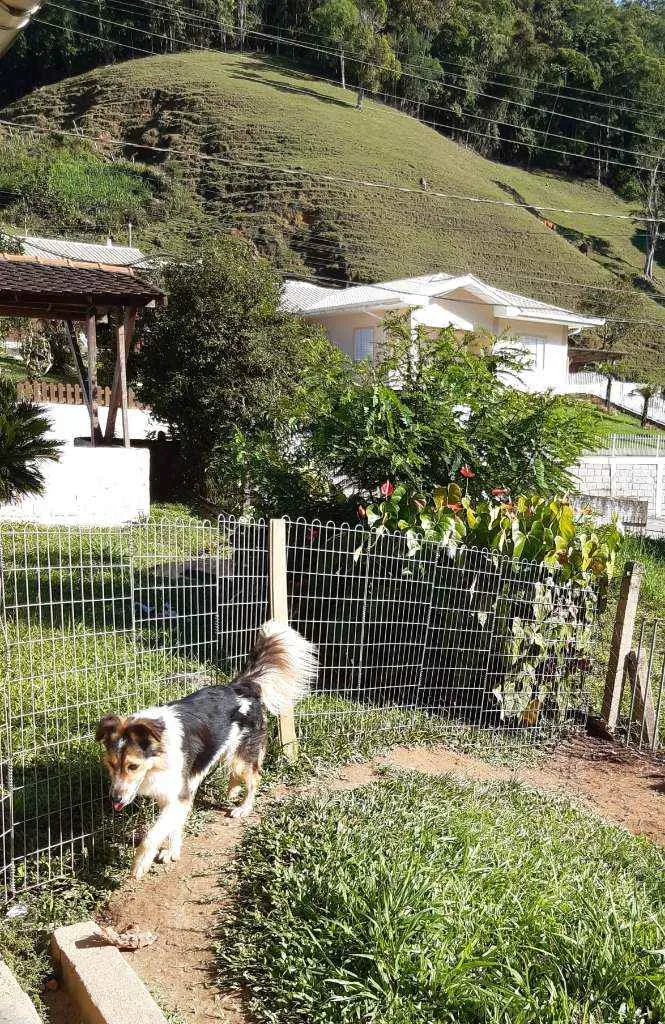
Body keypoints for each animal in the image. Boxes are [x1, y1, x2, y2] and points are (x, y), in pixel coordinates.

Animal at [94, 622, 319, 880]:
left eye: (133, 766)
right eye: (111, 764)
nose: (115, 799)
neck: (159, 751)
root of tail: (241, 686)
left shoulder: (177, 794)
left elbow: (153, 834)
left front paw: (141, 862)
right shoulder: (175, 794)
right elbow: (173, 825)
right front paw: (173, 850)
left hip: (241, 753)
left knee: (254, 778)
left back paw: (243, 807)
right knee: (237, 774)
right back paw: (232, 791)